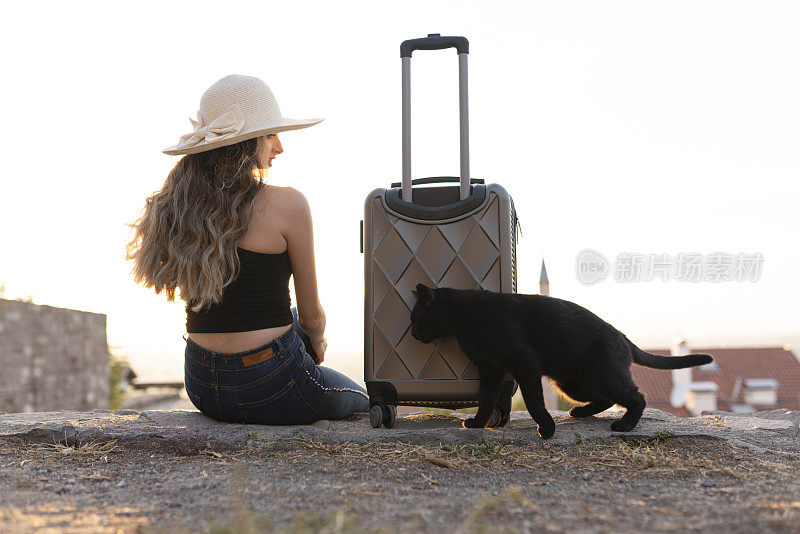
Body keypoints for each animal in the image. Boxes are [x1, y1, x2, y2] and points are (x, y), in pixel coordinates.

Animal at [412, 284, 712, 440]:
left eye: (416, 318)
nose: (413, 333)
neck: (466, 316)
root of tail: (623, 336)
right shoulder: (489, 369)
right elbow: (486, 399)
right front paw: (477, 423)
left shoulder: (524, 362)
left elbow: (534, 401)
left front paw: (546, 428)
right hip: (572, 383)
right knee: (605, 398)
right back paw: (581, 412)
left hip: (601, 376)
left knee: (636, 397)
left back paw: (625, 426)